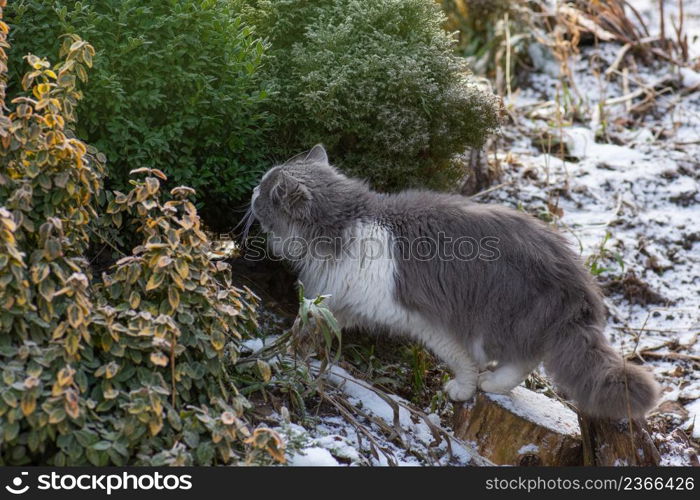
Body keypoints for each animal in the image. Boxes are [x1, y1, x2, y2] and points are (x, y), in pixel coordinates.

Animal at [249, 144, 660, 418]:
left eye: (263, 191)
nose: (252, 189)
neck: (350, 224)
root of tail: (578, 280)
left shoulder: (421, 320)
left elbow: (460, 360)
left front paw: (461, 389)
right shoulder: (346, 302)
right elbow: (313, 323)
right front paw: (285, 346)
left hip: (501, 318)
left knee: (524, 359)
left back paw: (489, 385)